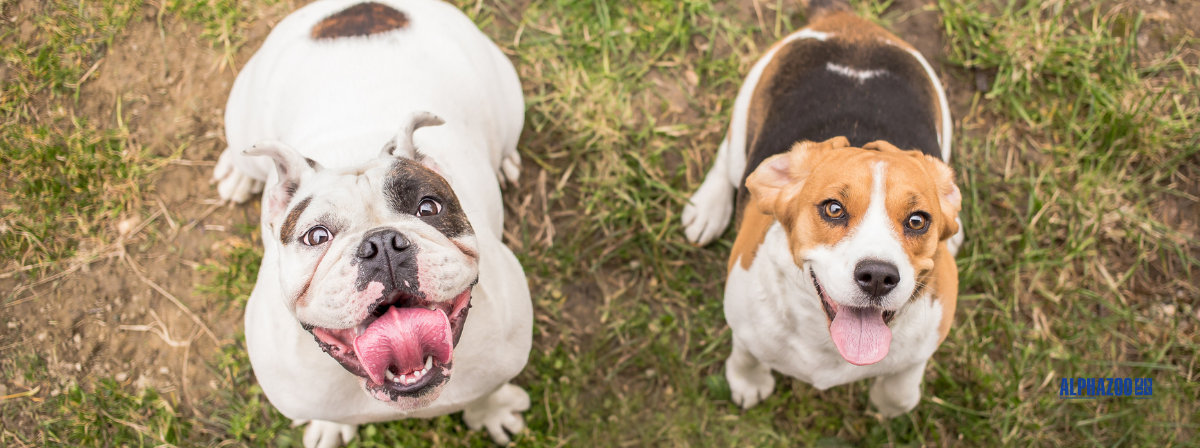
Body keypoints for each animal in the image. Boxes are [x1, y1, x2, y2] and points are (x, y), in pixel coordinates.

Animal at [686, 0, 964, 415]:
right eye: (833, 209)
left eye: (918, 220)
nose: (878, 276)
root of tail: (847, 22)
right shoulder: (743, 318)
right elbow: (748, 352)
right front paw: (748, 381)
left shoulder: (929, 333)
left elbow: (900, 390)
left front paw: (886, 402)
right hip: (744, 119)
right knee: (726, 157)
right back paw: (708, 206)